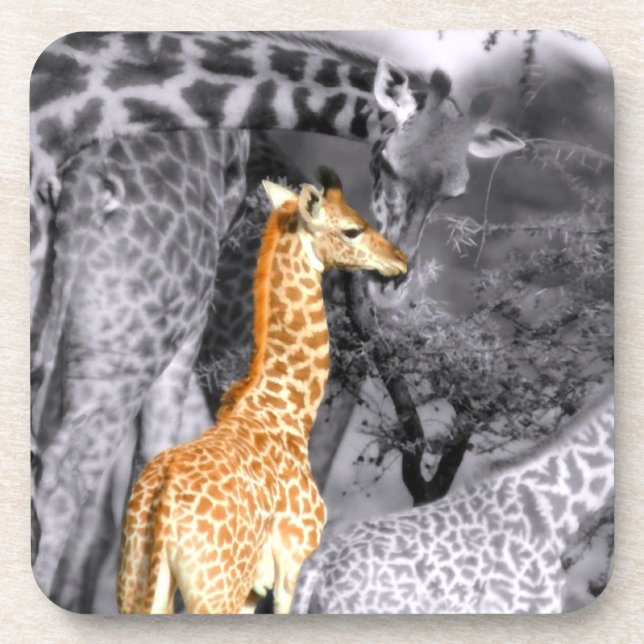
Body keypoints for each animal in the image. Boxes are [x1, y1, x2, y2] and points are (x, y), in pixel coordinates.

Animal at [117, 168, 408, 614]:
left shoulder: (254, 591)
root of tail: (160, 507)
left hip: (137, 583)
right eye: (352, 229)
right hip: (213, 590)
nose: (399, 260)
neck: (287, 411)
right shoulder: (292, 566)